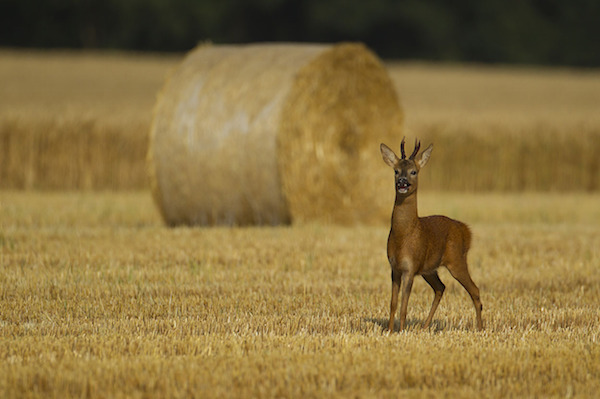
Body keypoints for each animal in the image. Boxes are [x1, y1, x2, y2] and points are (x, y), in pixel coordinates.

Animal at [380, 139, 482, 332]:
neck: (404, 235)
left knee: (474, 290)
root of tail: (465, 230)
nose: (402, 182)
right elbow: (393, 303)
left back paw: (480, 328)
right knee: (440, 287)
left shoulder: (410, 267)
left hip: (456, 260)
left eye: (413, 171)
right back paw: (424, 326)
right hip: (430, 269)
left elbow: (404, 305)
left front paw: (401, 331)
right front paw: (389, 331)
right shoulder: (394, 268)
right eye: (396, 171)